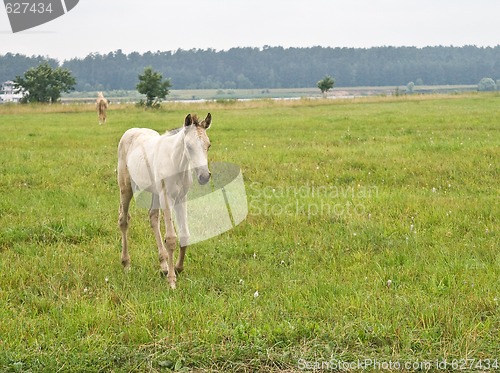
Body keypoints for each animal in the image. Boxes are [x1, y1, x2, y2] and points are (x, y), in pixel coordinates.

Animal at [118, 112, 212, 288]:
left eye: (208, 145)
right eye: (189, 147)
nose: (204, 176)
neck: (175, 163)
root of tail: (131, 130)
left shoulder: (182, 197)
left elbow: (184, 234)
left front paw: (177, 268)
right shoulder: (167, 197)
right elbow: (171, 238)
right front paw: (172, 280)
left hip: (156, 193)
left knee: (153, 217)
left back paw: (163, 265)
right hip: (126, 187)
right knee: (123, 220)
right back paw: (126, 264)